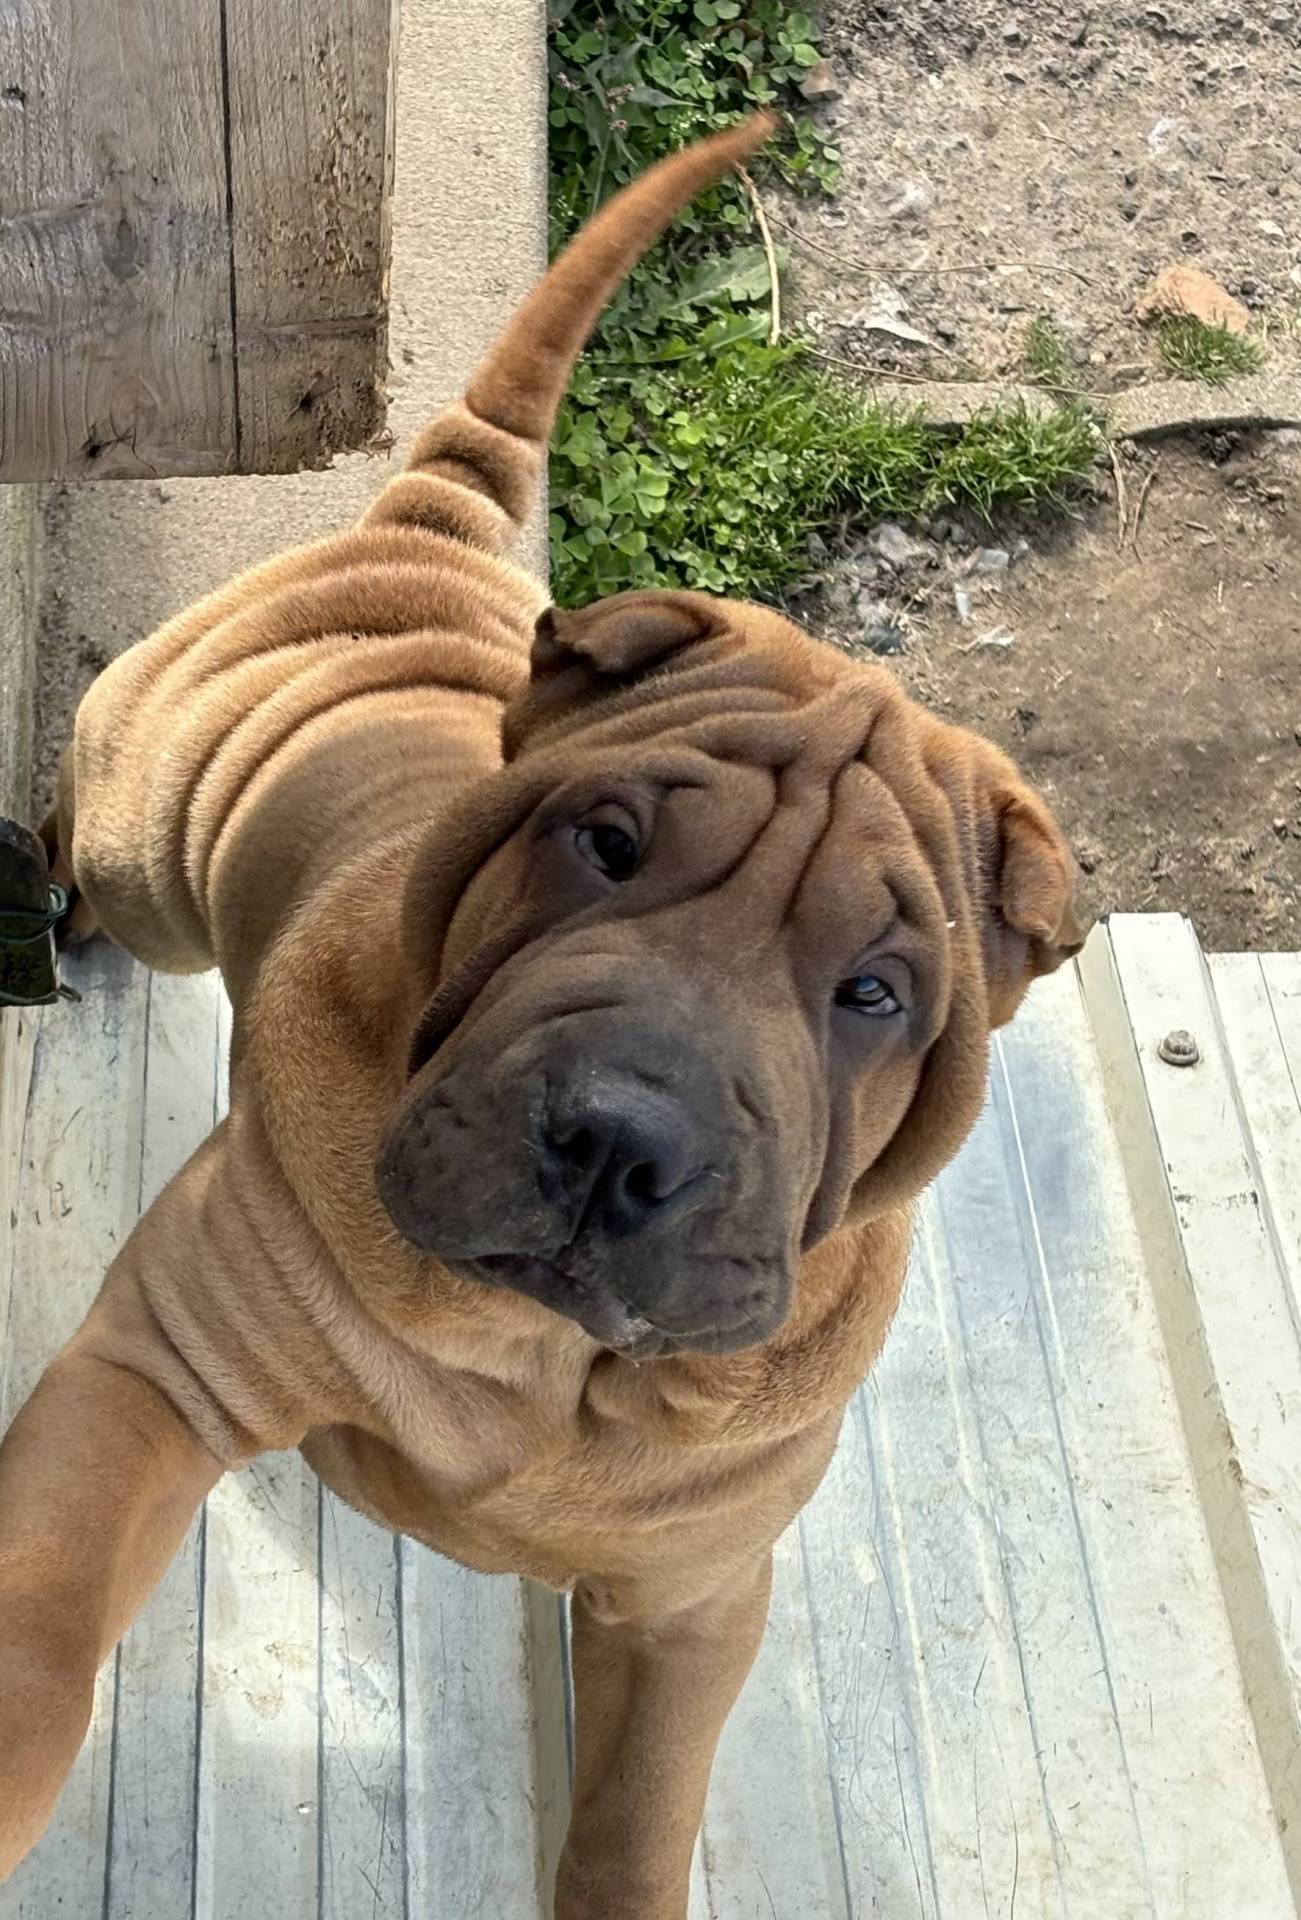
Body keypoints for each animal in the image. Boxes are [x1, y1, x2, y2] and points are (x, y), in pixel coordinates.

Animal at [0, 116, 1082, 1904]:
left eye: (874, 991)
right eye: (606, 845)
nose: (619, 1145)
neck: (550, 1367)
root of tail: (418, 540)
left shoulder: (693, 1599)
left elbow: (639, 1817)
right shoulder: (157, 1367)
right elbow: (40, 1617)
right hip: (151, 846)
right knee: (96, 837)